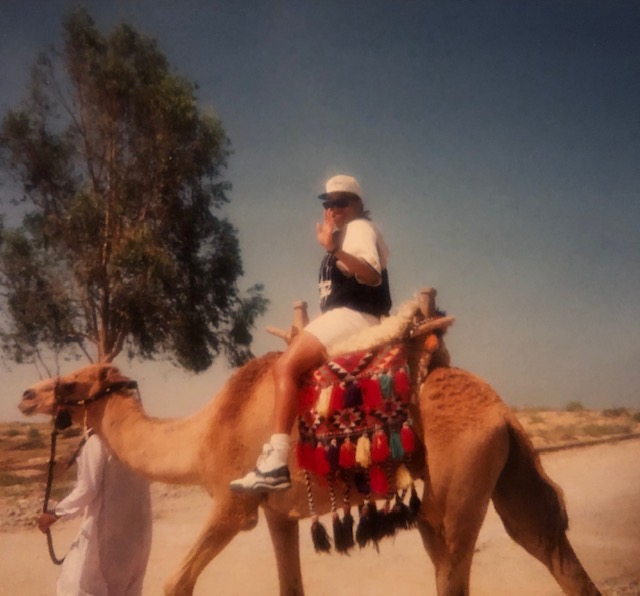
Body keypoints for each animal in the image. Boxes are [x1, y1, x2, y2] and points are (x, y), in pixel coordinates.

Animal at [17, 300, 604, 596]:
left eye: (73, 380)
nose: (25, 394)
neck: (204, 432)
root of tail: (504, 411)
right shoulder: (279, 515)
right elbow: (290, 586)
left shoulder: (232, 505)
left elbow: (174, 582)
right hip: (483, 486)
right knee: (548, 547)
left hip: (458, 492)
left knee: (457, 572)